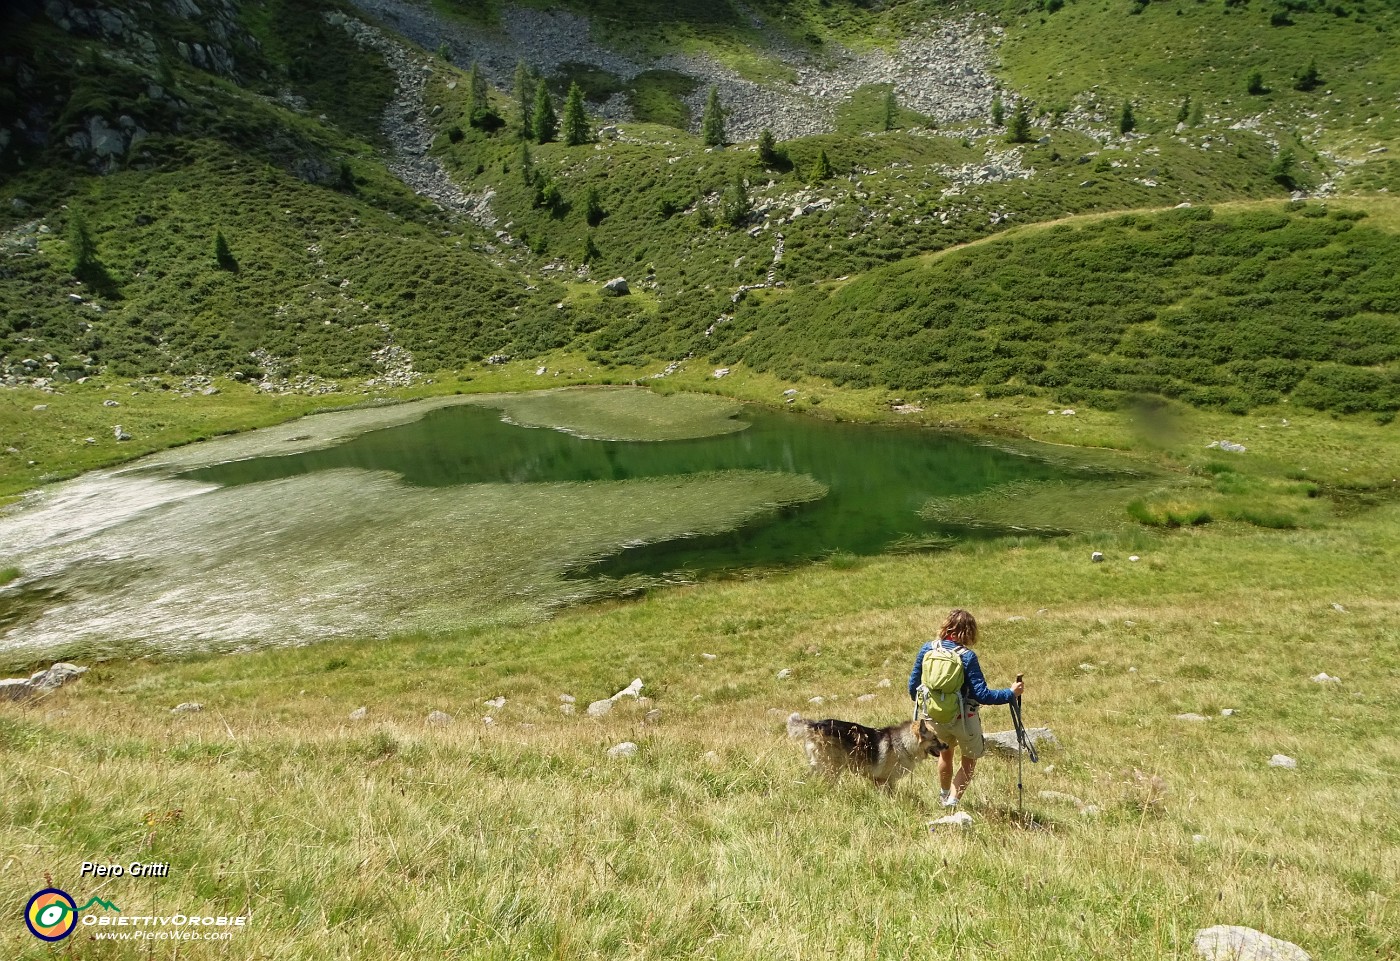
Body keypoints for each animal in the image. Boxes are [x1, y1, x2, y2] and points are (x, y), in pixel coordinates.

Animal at [789, 714, 952, 790]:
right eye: (934, 738)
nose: (947, 746)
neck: (904, 744)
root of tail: (815, 725)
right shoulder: (882, 780)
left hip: (819, 766)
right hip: (831, 768)